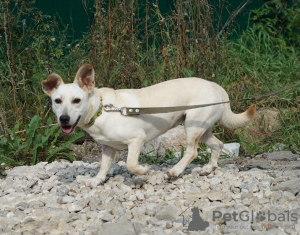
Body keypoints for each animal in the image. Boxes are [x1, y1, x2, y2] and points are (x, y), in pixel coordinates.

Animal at [40, 64, 255, 187]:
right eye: (57, 101)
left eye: (77, 100)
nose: (64, 119)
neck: (102, 110)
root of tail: (218, 88)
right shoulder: (108, 148)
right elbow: (103, 166)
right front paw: (96, 181)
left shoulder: (136, 140)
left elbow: (131, 164)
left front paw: (145, 171)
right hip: (201, 129)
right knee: (217, 145)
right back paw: (208, 169)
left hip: (192, 129)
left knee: (191, 152)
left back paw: (175, 171)